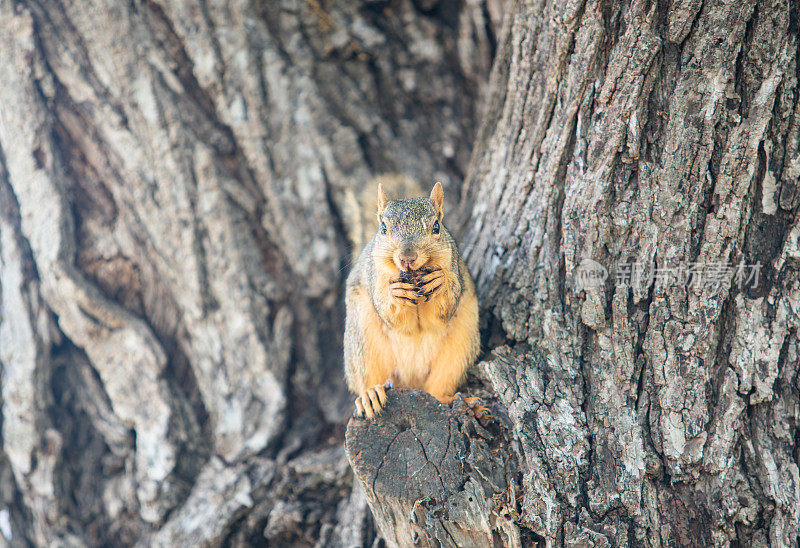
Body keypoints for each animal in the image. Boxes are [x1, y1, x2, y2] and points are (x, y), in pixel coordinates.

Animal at [342, 182, 478, 418]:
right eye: (383, 229)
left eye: (436, 227)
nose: (407, 257)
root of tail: (411, 381)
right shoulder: (375, 276)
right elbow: (391, 316)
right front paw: (395, 293)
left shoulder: (454, 268)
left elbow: (446, 308)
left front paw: (440, 281)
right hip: (361, 339)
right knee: (368, 377)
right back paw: (370, 394)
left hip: (462, 345)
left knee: (439, 387)